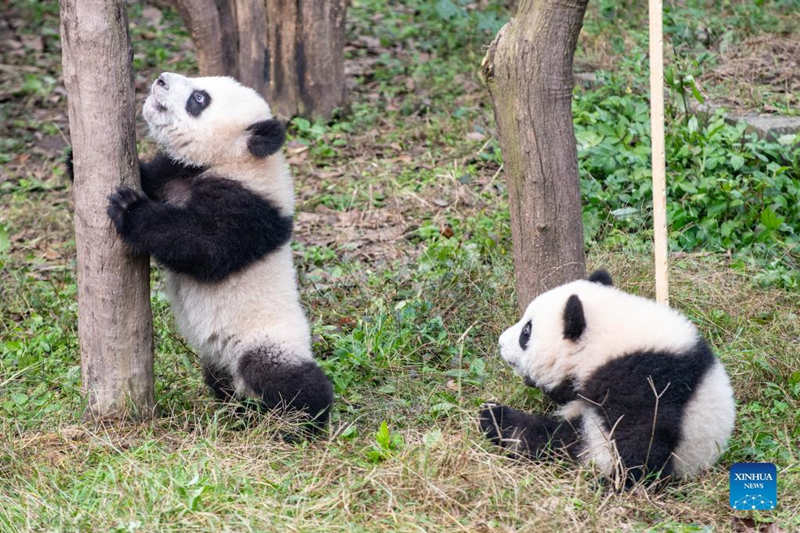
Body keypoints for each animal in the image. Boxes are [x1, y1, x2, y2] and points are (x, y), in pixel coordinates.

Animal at [103, 72, 333, 432]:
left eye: (199, 98)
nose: (161, 79)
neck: (234, 160)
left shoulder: (249, 207)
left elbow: (203, 247)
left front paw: (129, 209)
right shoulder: (177, 172)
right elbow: (151, 178)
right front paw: (72, 163)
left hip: (268, 339)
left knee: (288, 378)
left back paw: (304, 422)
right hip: (218, 361)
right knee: (222, 381)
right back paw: (237, 410)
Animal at [479, 270, 735, 486]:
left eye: (526, 331)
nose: (501, 342)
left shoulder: (645, 381)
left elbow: (641, 440)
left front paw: (620, 482)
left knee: (562, 439)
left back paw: (496, 419)